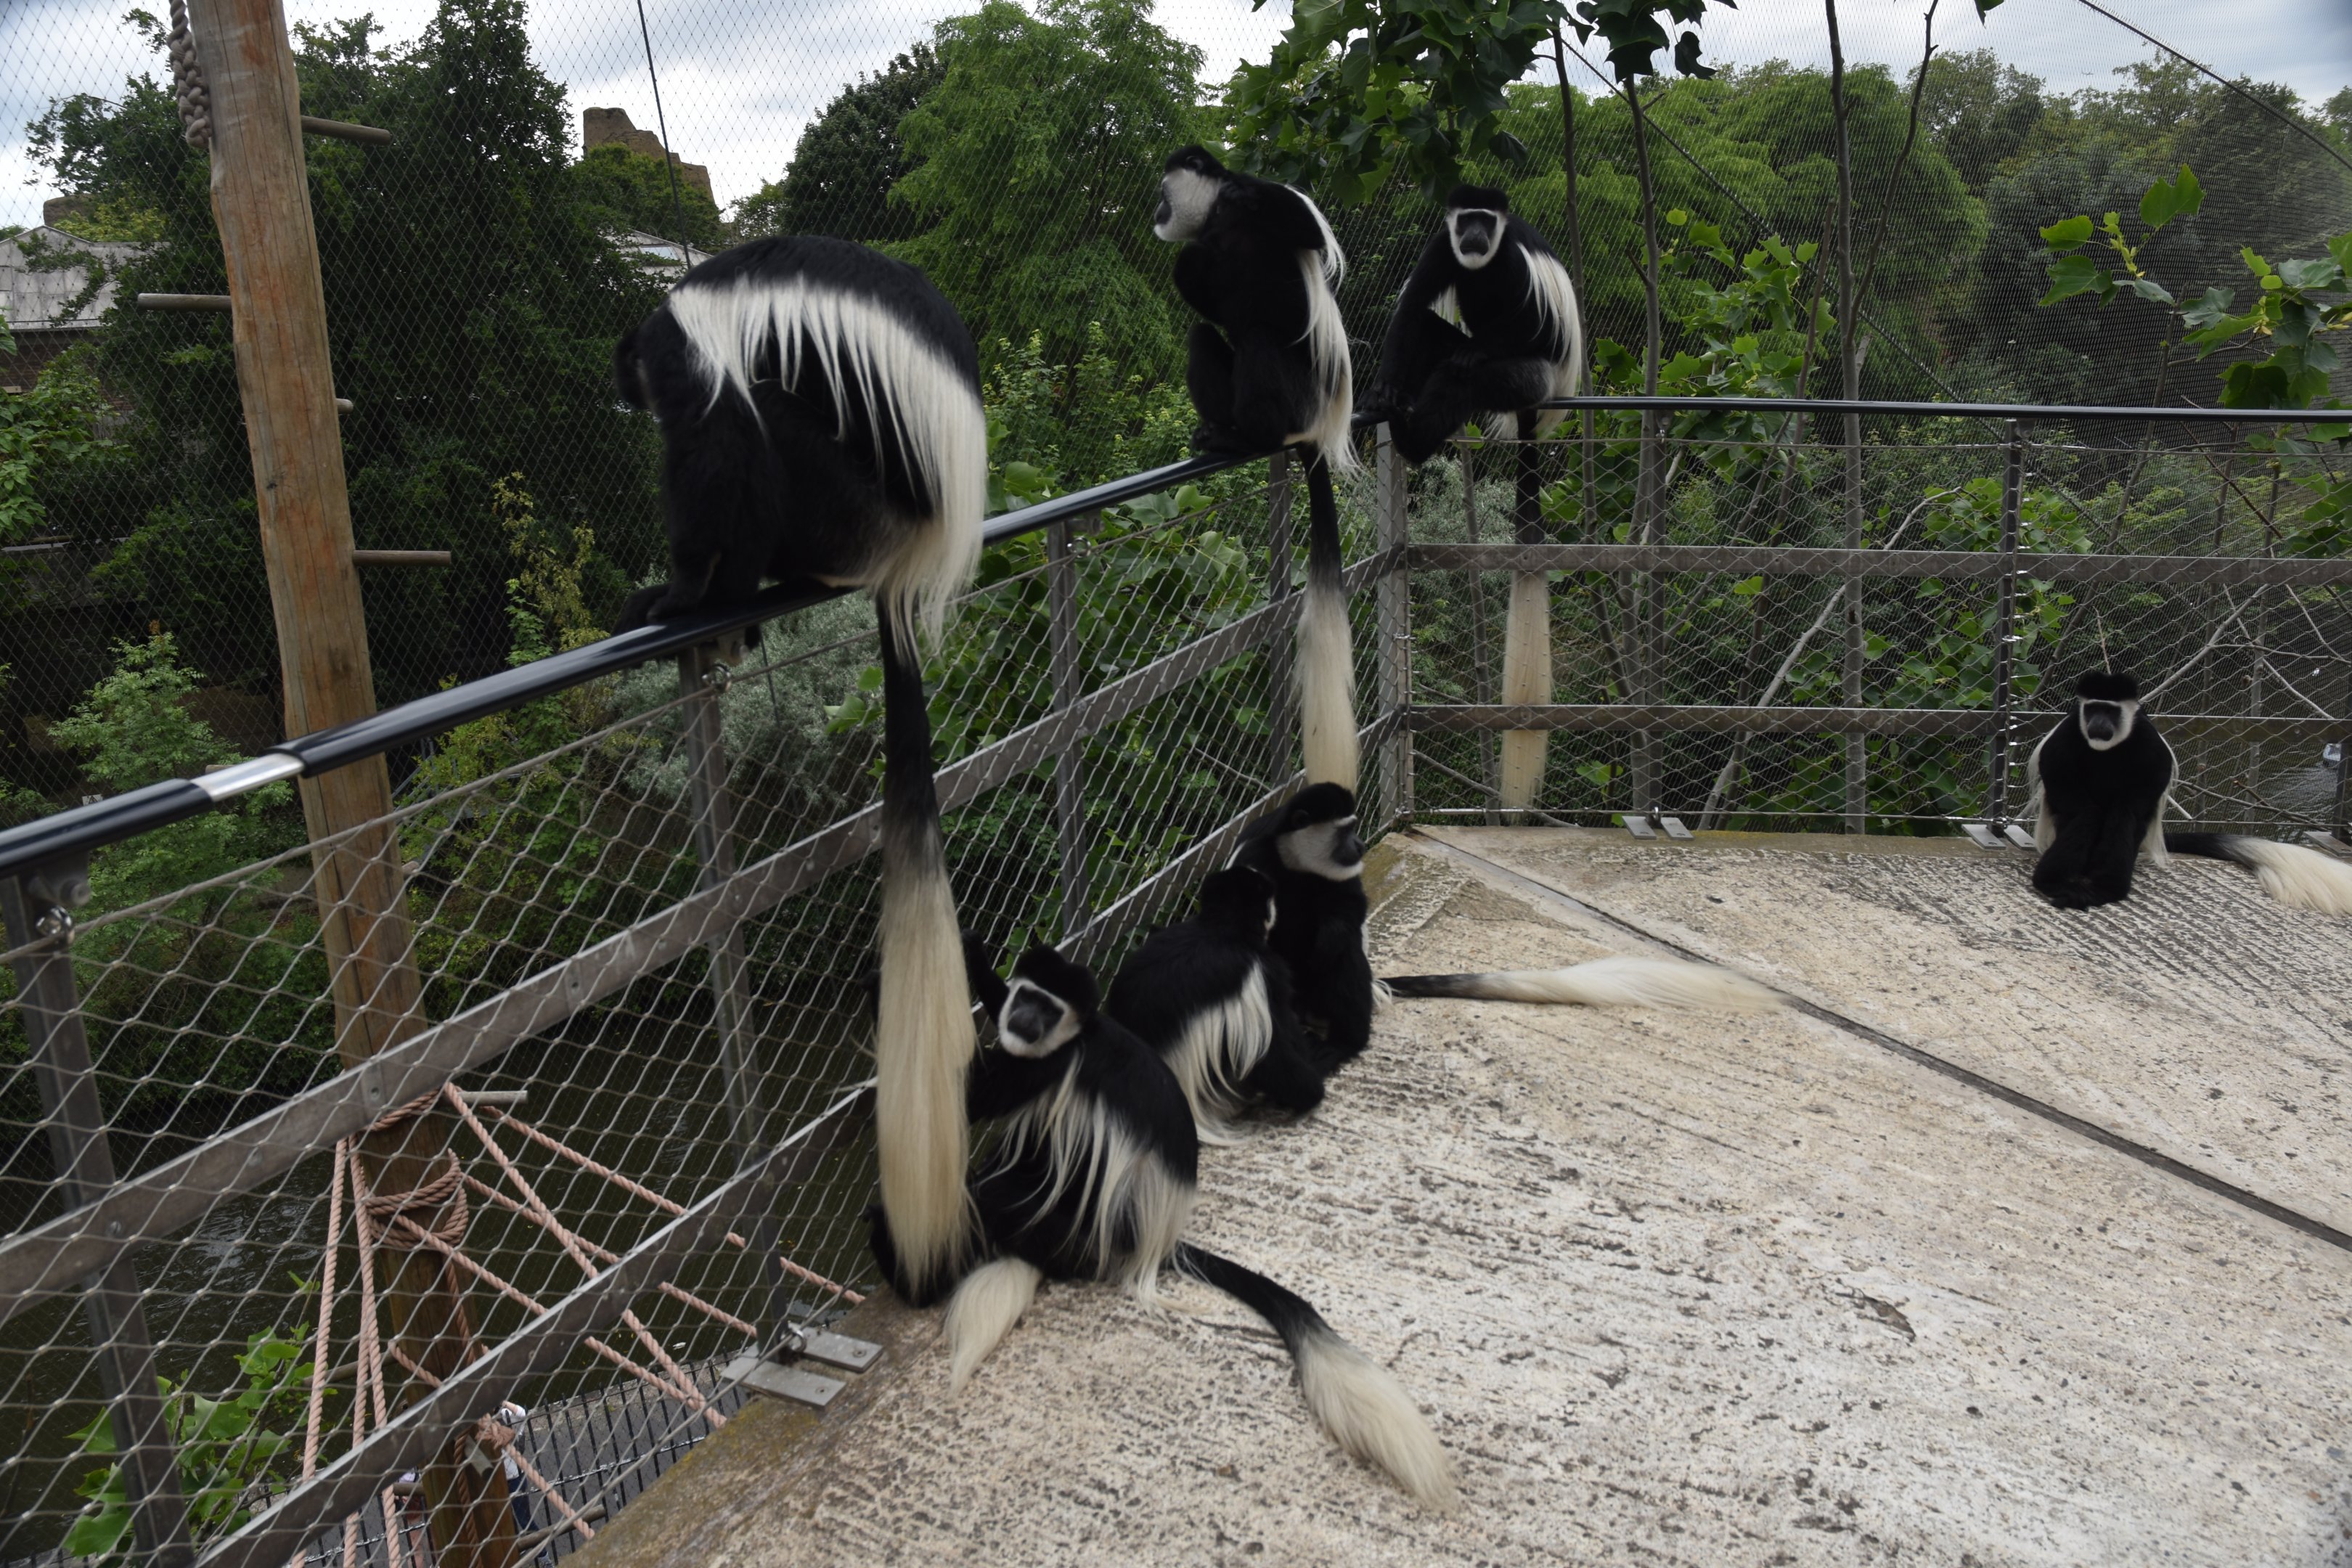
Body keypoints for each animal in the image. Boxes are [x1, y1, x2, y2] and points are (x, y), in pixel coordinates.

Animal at [612, 234, 988, 1295]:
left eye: (637, 374)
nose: (623, 391)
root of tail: (919, 557)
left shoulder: (696, 353)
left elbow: (716, 452)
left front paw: (679, 591)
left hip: (849, 504)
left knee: (761, 435)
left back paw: (732, 595)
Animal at [870, 938, 1459, 1512]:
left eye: (1049, 1009)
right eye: (1029, 997)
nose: (1026, 1021)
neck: (1080, 1035)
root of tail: (1160, 1239)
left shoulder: (1039, 1068)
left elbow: (972, 1097)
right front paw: (972, 955)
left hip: (1081, 1231)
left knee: (1001, 1200)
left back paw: (919, 1272)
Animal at [1155, 146, 1359, 787]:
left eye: (1162, 193)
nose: (1156, 212)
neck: (1220, 228)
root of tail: (1314, 429)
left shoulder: (1269, 218)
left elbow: (1304, 228)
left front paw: (1240, 188)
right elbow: (1197, 284)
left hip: (1297, 395)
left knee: (1263, 339)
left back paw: (1251, 434)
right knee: (1207, 334)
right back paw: (1221, 437)